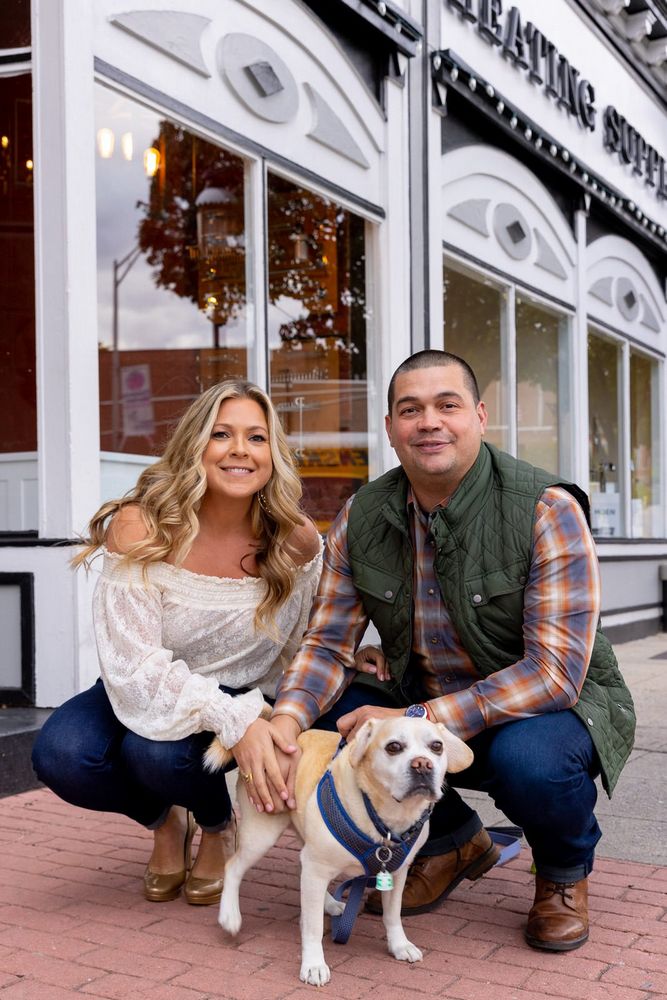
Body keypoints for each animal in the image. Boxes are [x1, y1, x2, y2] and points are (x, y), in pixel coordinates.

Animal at [211, 716, 473, 986]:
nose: (423, 764)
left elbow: (392, 914)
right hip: (262, 834)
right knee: (233, 867)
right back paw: (230, 916)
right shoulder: (317, 867)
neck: (387, 819)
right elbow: (313, 927)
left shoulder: (397, 873)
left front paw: (399, 945)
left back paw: (328, 903)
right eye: (393, 747)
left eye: (436, 746)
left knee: (301, 870)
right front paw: (313, 964)